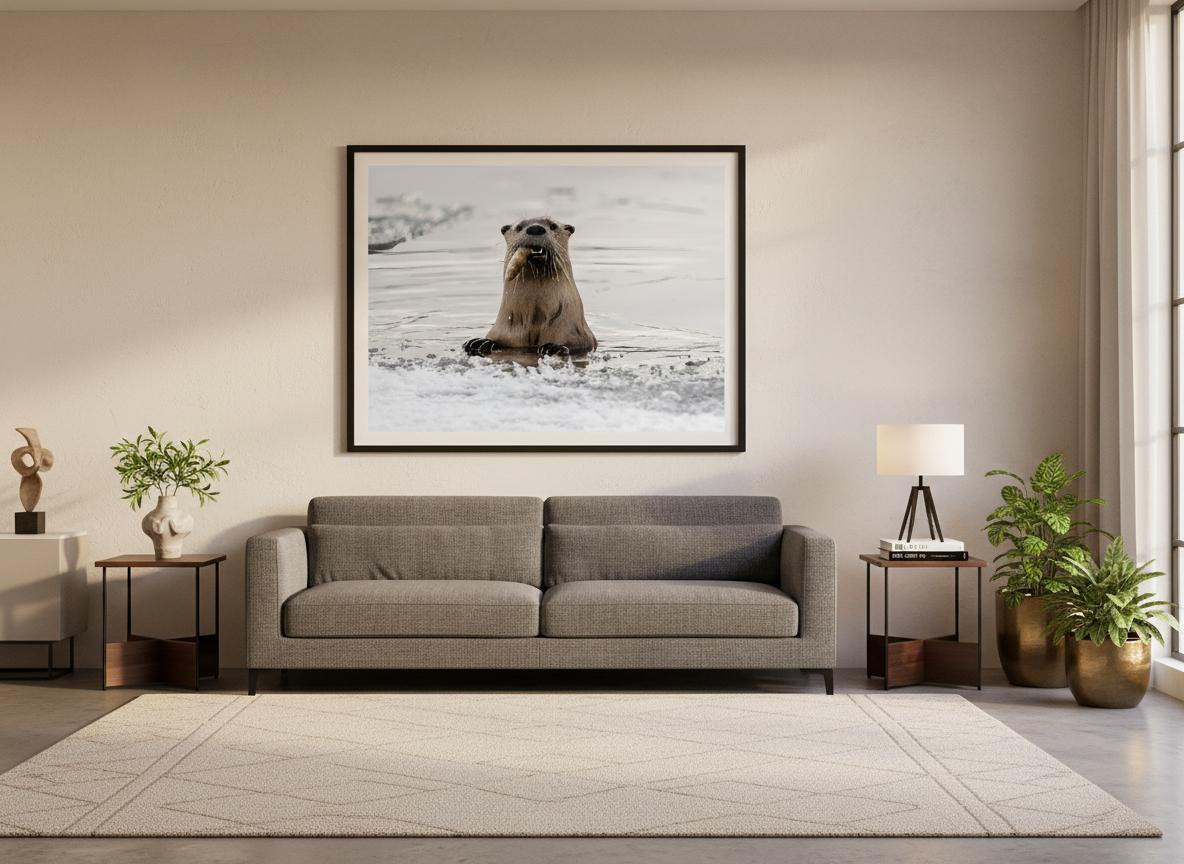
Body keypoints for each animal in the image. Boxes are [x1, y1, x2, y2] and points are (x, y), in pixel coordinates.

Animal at [462, 217, 597, 357]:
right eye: (519, 227)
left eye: (553, 226)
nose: (535, 228)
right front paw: (478, 342)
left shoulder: (579, 335)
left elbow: (578, 345)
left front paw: (553, 347)